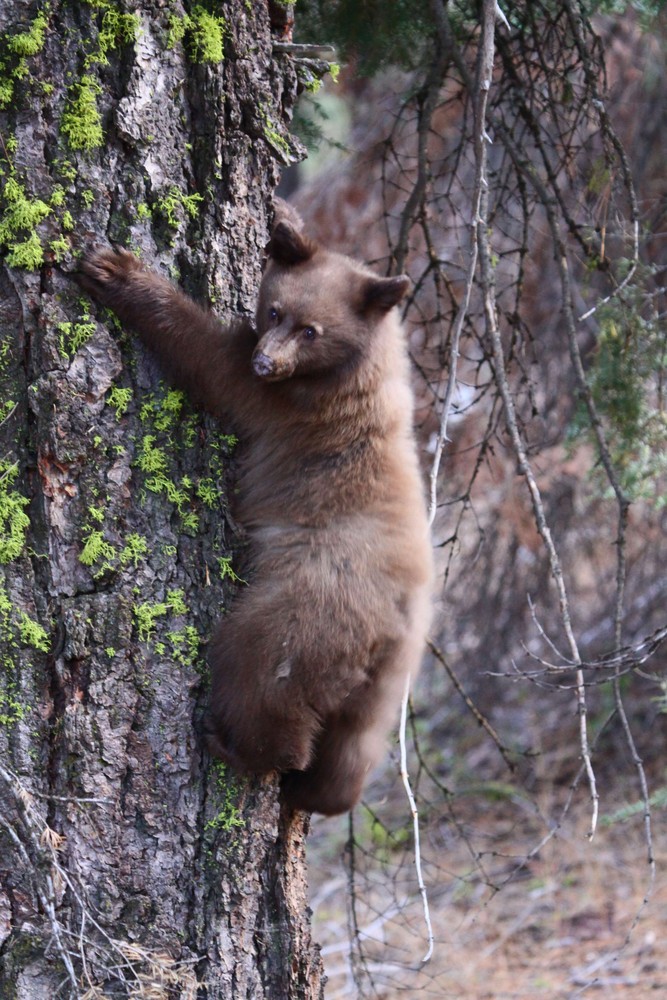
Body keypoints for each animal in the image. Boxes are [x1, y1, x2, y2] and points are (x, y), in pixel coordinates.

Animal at [78, 215, 434, 816]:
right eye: (274, 311)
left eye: (312, 331)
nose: (267, 360)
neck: (357, 368)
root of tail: (394, 632)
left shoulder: (284, 404)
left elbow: (209, 358)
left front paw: (116, 272)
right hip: (382, 692)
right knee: (350, 751)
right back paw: (315, 792)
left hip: (301, 618)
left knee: (259, 679)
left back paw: (235, 746)